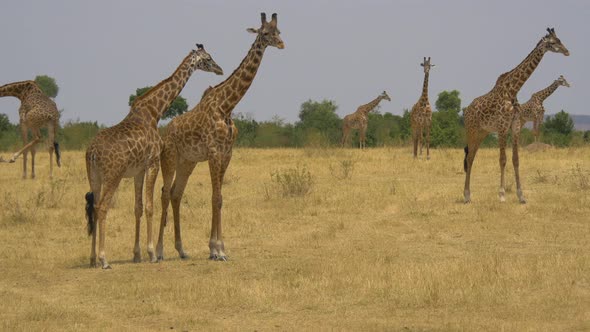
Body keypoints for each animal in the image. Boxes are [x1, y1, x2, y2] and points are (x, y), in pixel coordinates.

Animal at [82, 44, 222, 268]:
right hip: (113, 176)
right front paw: (152, 254)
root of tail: (93, 152)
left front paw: (137, 254)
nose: (220, 69)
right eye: (208, 58)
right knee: (102, 207)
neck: (155, 112)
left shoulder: (138, 170)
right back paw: (104, 259)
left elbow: (138, 207)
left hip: (93, 176)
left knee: (94, 207)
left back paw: (93, 258)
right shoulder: (153, 163)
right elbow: (150, 206)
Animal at [155, 12, 286, 262]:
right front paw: (217, 250)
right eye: (265, 33)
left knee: (176, 194)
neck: (227, 106)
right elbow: (215, 198)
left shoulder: (227, 154)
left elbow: (220, 198)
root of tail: (165, 133)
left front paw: (217, 248)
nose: (282, 44)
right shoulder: (214, 152)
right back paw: (158, 251)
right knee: (165, 193)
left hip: (187, 162)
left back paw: (181, 250)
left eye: (279, 31)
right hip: (169, 158)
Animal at [464, 28, 572, 204]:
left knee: (471, 156)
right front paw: (501, 194)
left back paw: (468, 195)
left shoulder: (514, 126)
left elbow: (515, 159)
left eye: (560, 39)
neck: (513, 89)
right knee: (469, 158)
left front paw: (521, 196)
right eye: (552, 42)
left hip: (482, 132)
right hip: (471, 130)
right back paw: (466, 195)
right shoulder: (502, 127)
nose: (567, 51)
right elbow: (502, 159)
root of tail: (466, 110)